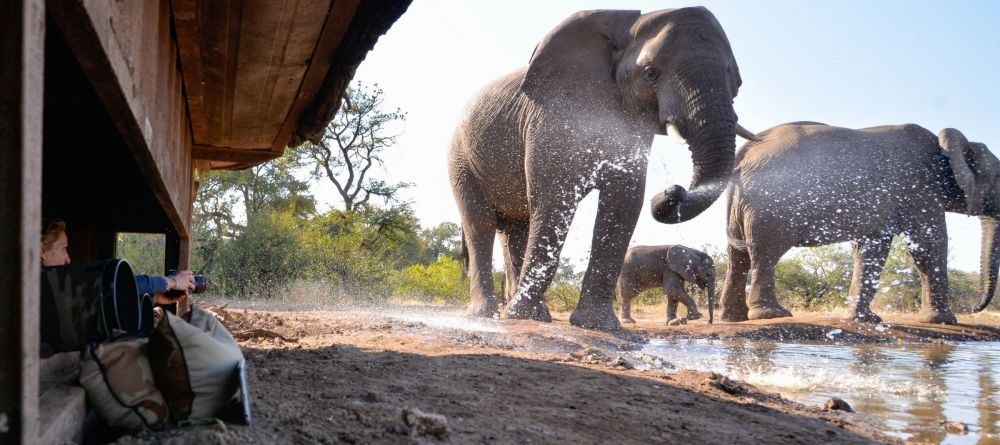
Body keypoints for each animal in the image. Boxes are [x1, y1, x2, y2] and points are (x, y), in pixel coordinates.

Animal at [448, 6, 756, 330]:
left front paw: (596, 324)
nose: (674, 190)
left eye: (734, 79)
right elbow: (554, 199)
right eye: (651, 73)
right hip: (461, 160)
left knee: (517, 229)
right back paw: (488, 314)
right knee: (480, 224)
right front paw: (528, 316)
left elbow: (624, 202)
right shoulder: (553, 117)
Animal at [720, 121, 1000, 322]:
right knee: (766, 253)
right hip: (771, 204)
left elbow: (870, 250)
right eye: (999, 178)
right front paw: (943, 321)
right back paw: (772, 315)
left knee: (739, 257)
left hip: (744, 206)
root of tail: (743, 155)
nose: (974, 308)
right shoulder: (920, 190)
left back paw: (734, 318)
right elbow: (929, 245)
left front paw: (865, 319)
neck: (948, 149)